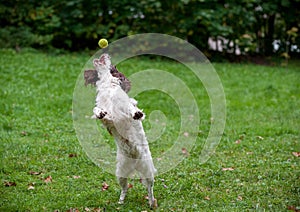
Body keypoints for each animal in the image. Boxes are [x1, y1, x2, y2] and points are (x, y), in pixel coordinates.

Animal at [85, 53, 157, 208]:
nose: (104, 53)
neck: (107, 86)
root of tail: (134, 162)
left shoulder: (125, 104)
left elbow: (131, 107)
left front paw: (137, 114)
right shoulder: (104, 112)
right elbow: (97, 110)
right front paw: (100, 113)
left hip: (147, 170)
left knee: (149, 188)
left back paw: (151, 202)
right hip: (121, 173)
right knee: (124, 188)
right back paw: (121, 201)